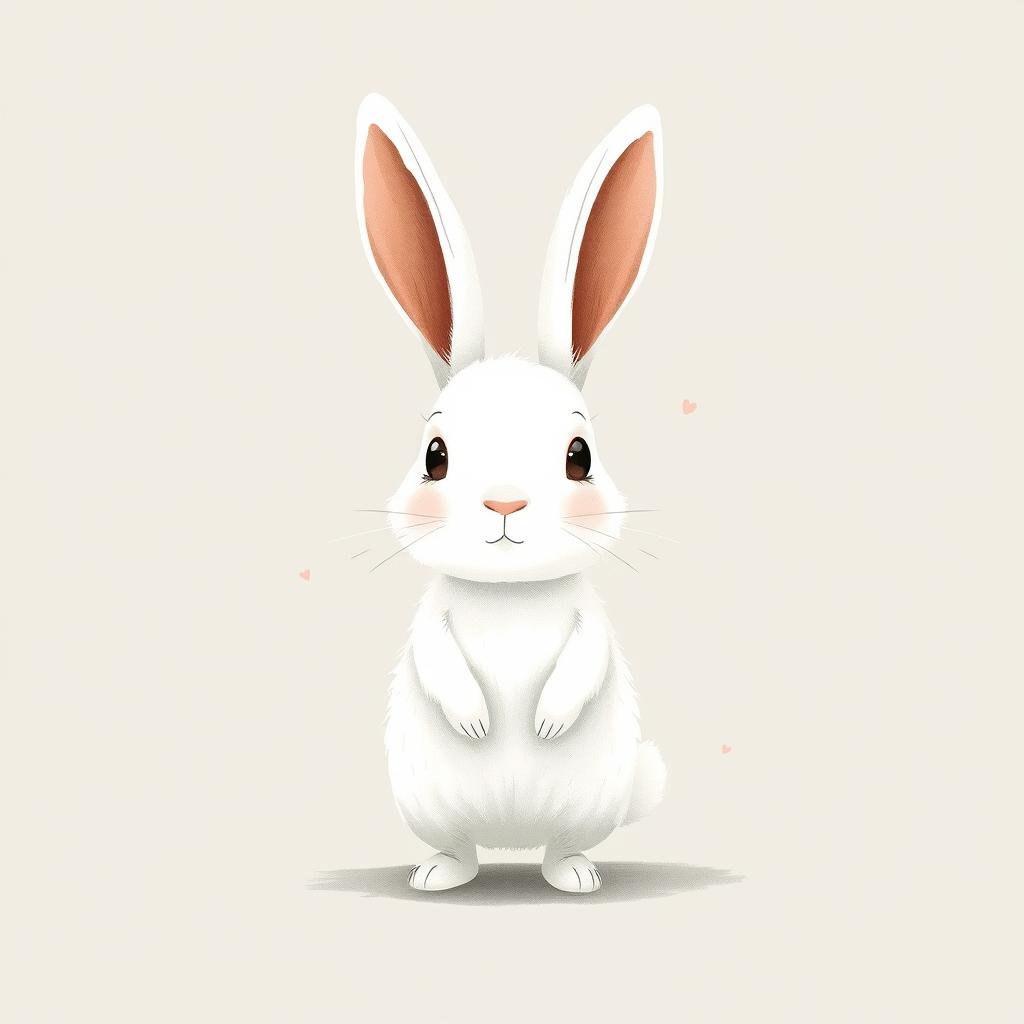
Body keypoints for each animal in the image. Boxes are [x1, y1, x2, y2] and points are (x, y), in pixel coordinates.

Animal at [354, 94, 667, 892]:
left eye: (579, 457)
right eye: (434, 457)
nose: (504, 505)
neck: (509, 596)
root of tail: (511, 845)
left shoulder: (590, 623)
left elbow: (584, 660)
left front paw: (546, 721)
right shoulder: (432, 623)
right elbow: (438, 656)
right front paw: (477, 721)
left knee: (564, 847)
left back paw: (574, 876)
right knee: (458, 849)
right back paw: (440, 875)